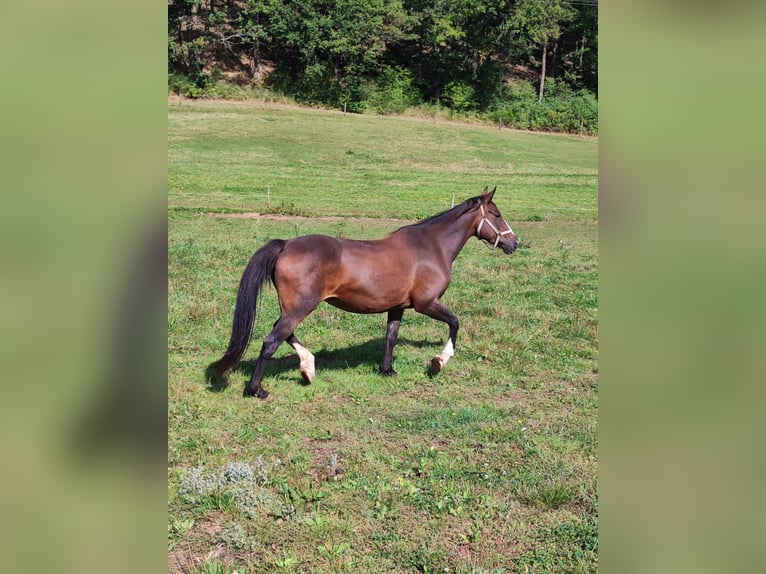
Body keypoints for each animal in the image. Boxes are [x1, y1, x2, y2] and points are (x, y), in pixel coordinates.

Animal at [212, 186, 518, 398]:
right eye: (497, 215)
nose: (514, 243)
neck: (431, 246)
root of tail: (286, 244)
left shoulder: (397, 306)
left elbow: (391, 337)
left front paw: (387, 370)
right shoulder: (427, 303)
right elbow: (455, 322)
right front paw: (438, 362)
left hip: (294, 306)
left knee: (283, 332)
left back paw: (308, 368)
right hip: (302, 306)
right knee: (272, 340)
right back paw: (257, 389)